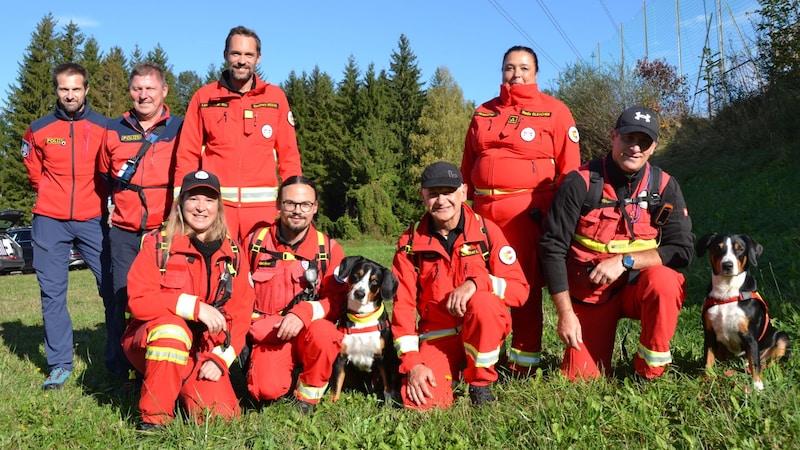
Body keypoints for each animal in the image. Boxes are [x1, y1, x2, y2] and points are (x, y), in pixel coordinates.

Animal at [328, 256, 400, 404]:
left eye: (374, 281)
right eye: (357, 274)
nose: (359, 293)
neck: (362, 317)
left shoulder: (383, 358)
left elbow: (387, 386)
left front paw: (388, 405)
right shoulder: (341, 358)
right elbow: (336, 386)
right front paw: (332, 404)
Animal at [696, 232, 792, 390]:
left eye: (740, 249)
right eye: (718, 248)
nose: (727, 265)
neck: (727, 294)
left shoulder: (749, 335)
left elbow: (755, 363)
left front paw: (757, 386)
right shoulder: (709, 333)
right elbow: (708, 360)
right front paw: (706, 380)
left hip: (782, 337)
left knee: (768, 362)